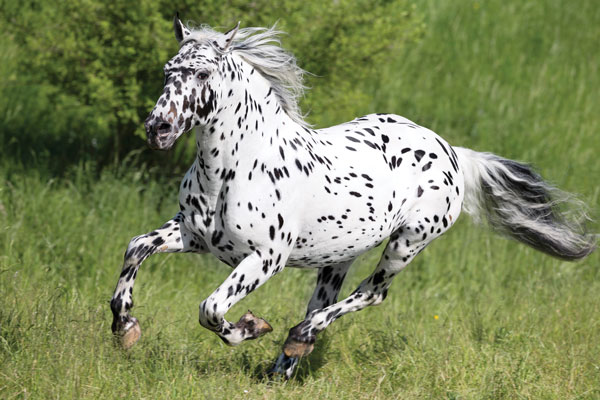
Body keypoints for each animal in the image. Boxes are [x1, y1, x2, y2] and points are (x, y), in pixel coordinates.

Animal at [110, 15, 596, 378]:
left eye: (203, 72)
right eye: (168, 70)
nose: (158, 129)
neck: (237, 167)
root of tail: (454, 153)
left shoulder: (265, 258)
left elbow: (210, 309)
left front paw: (252, 326)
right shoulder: (193, 235)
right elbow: (136, 247)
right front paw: (125, 326)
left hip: (406, 244)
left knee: (370, 295)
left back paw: (298, 337)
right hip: (339, 256)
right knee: (325, 302)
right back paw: (284, 364)